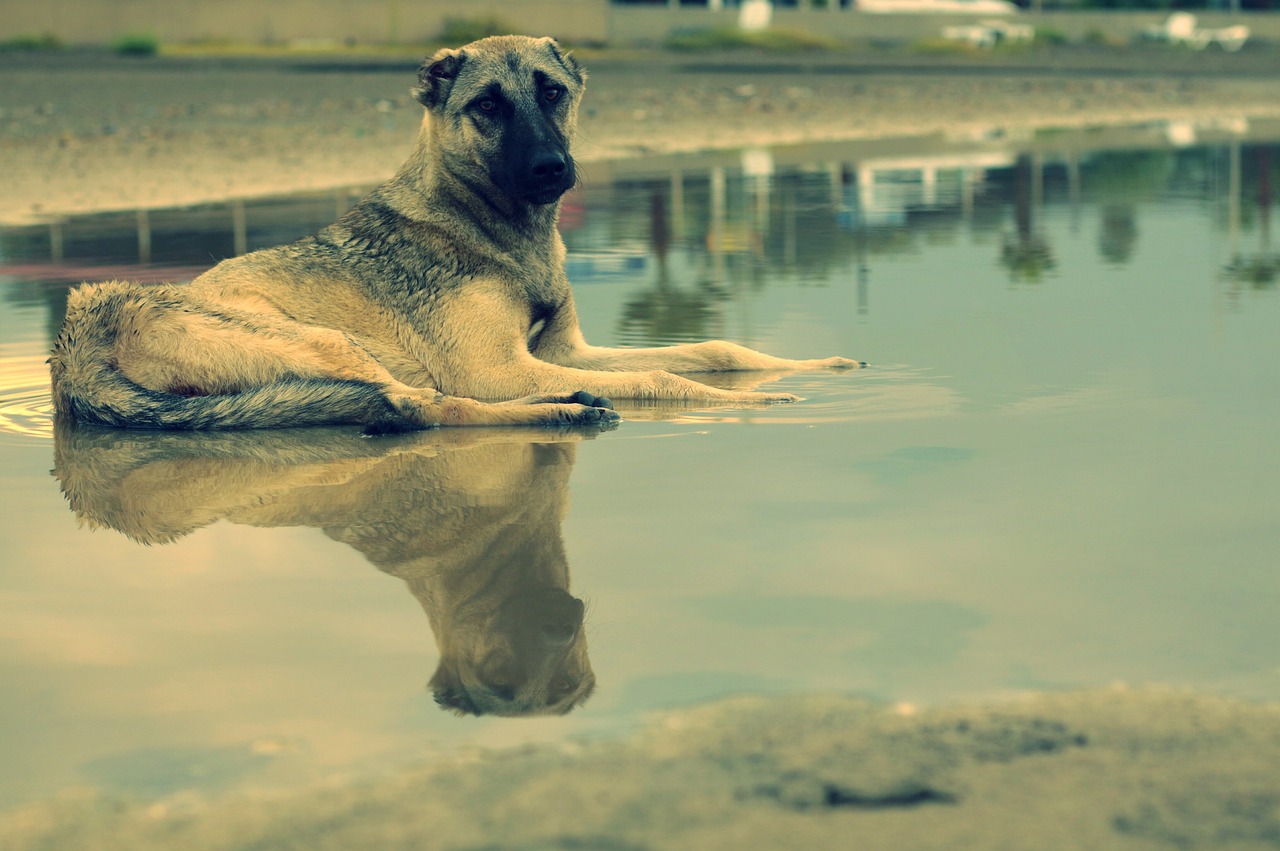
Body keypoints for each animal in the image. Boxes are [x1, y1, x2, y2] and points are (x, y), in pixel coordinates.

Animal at [47, 34, 860, 432]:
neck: (493, 226)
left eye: (552, 93)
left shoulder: (566, 352)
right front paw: (750, 403)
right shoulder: (498, 367)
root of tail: (84, 332)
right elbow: (666, 377)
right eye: (488, 106)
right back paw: (563, 412)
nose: (552, 169)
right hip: (335, 346)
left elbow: (715, 349)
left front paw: (816, 366)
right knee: (417, 407)